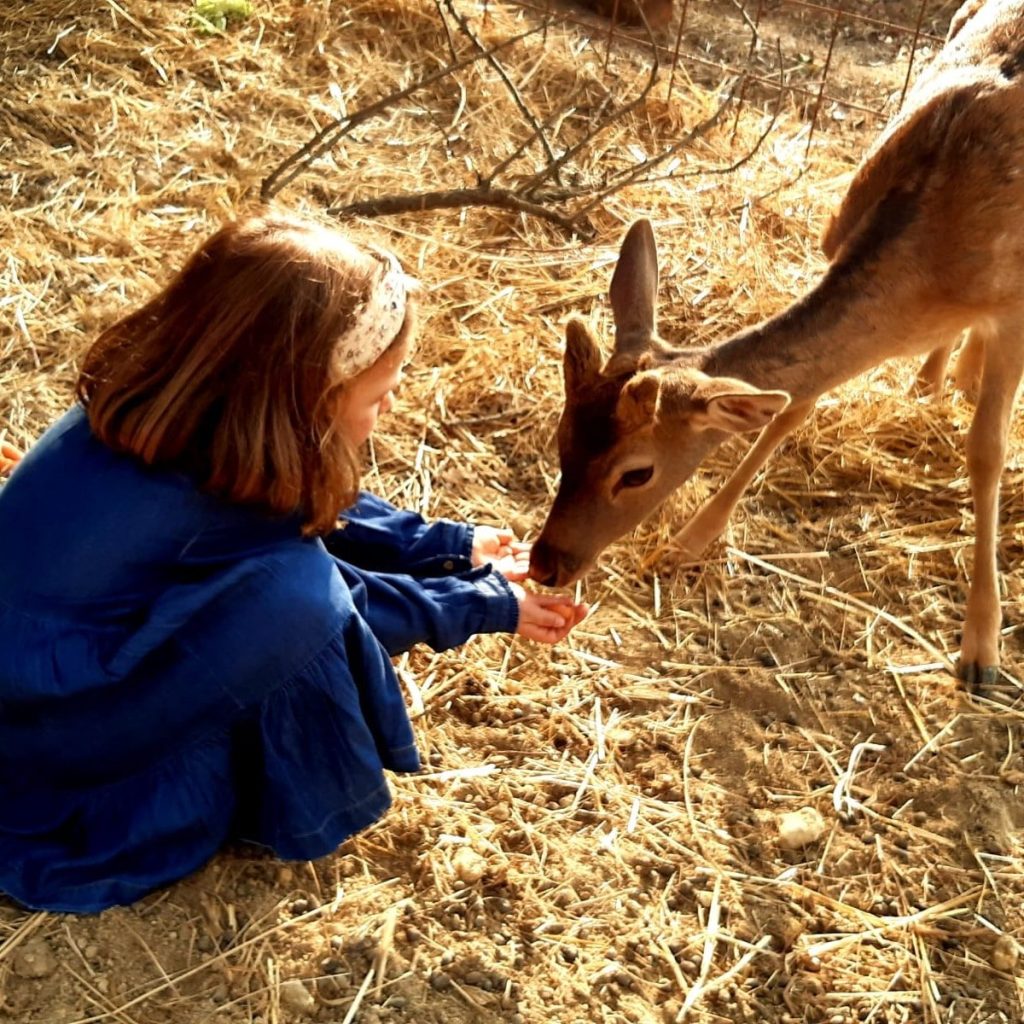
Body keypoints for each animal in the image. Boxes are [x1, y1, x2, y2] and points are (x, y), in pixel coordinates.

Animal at [532, 2, 1024, 688]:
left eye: (637, 473)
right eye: (562, 440)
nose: (546, 563)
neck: (935, 273)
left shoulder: (1014, 306)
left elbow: (987, 451)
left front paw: (981, 649)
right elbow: (791, 407)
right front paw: (686, 543)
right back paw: (931, 381)